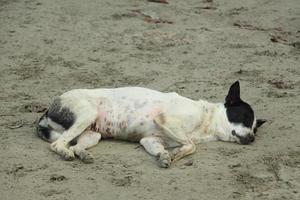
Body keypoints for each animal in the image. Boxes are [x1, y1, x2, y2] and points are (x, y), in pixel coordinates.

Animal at [37, 81, 264, 167]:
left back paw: (82, 154)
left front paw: (166, 156)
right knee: (58, 145)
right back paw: (65, 153)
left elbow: (167, 149)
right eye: (245, 117)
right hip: (87, 114)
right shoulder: (166, 121)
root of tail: (49, 109)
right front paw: (176, 154)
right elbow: (191, 145)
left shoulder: (150, 140)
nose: (253, 138)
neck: (206, 120)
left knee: (75, 146)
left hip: (93, 134)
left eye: (255, 128)